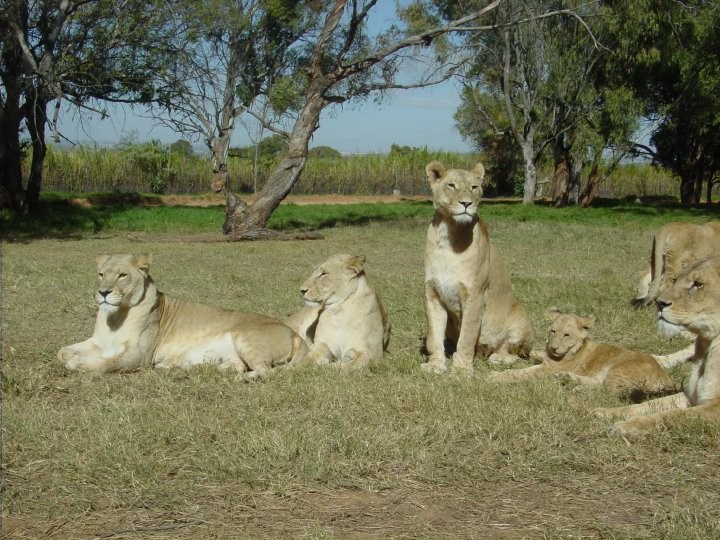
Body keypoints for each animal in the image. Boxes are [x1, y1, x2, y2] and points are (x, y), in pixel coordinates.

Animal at [57, 253, 307, 379]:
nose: (103, 293)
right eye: (101, 274)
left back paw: (241, 378)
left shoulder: (139, 356)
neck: (116, 317)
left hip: (246, 339)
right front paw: (69, 356)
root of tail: (294, 333)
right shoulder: (98, 343)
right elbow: (61, 351)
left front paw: (76, 363)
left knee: (266, 372)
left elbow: (106, 364)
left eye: (122, 276)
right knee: (237, 366)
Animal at [421, 160, 535, 375]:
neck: (449, 234)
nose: (467, 203)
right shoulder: (432, 294)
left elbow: (467, 336)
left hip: (521, 317)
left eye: (474, 187)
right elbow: (433, 335)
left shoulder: (475, 296)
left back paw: (499, 357)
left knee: (515, 351)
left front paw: (461, 369)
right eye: (451, 185)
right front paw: (435, 364)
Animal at [488, 308, 678, 400]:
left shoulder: (547, 369)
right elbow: (530, 355)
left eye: (567, 335)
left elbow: (521, 373)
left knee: (609, 392)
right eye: (553, 331)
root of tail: (666, 376)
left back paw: (576, 388)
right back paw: (568, 379)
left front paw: (496, 376)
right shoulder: (545, 358)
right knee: (599, 383)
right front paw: (503, 358)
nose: (554, 348)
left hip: (620, 371)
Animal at [596, 256, 720, 436]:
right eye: (676, 279)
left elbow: (672, 415)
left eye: (698, 284)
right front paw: (607, 412)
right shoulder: (690, 396)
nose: (659, 303)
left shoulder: (715, 407)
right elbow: (649, 404)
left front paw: (625, 426)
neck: (709, 345)